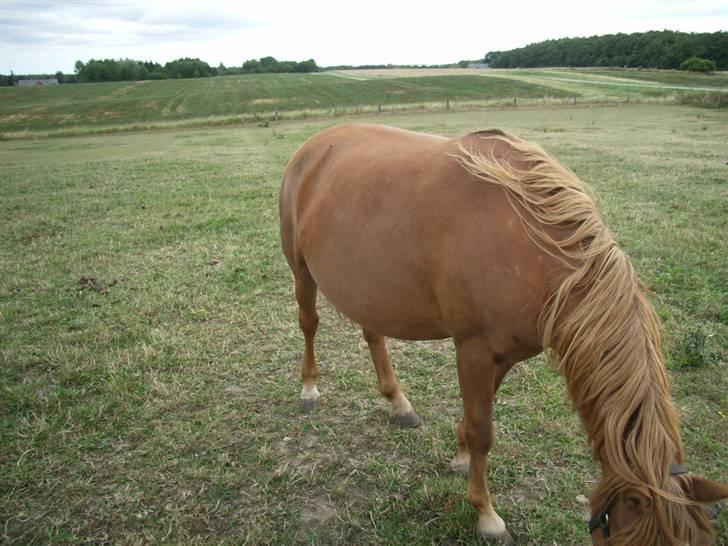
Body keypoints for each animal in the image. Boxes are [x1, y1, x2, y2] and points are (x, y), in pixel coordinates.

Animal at [278, 124, 728, 544]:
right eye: (622, 538)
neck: (530, 237)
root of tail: (313, 145)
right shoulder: (473, 350)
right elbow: (483, 432)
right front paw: (487, 516)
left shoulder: (505, 355)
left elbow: (474, 418)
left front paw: (460, 458)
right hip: (301, 272)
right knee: (309, 324)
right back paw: (309, 391)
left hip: (369, 289)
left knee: (373, 335)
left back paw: (399, 404)